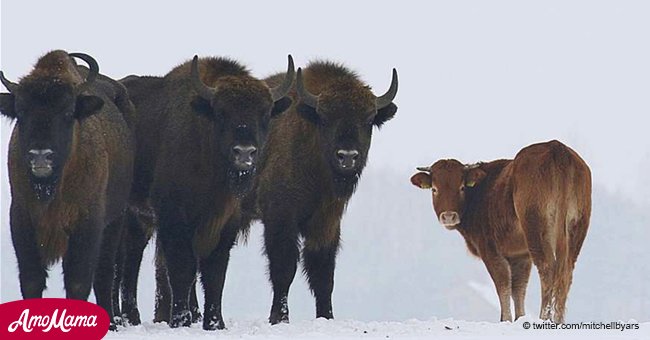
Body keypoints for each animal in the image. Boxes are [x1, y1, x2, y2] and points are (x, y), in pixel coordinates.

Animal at [0, 50, 134, 330]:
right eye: (21, 111)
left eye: (68, 111)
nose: (41, 156)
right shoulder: (21, 218)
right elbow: (31, 279)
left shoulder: (88, 223)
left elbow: (78, 281)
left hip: (115, 221)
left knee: (105, 274)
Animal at [116, 55, 294, 330]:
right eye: (222, 112)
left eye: (264, 113)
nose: (244, 153)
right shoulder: (174, 218)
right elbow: (182, 269)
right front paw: (181, 321)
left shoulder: (226, 223)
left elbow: (214, 273)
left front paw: (215, 323)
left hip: (139, 220)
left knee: (131, 261)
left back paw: (131, 318)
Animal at [248, 61, 398, 324]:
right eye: (326, 118)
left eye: (368, 119)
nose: (347, 156)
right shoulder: (279, 217)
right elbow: (284, 268)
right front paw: (279, 318)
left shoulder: (327, 221)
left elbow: (323, 274)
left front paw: (326, 317)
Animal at [412, 139, 588, 322]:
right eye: (434, 189)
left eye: (461, 187)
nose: (448, 216)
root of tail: (556, 148)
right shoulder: (520, 255)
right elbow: (518, 289)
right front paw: (519, 318)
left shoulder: (491, 250)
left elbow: (502, 284)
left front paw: (506, 319)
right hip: (576, 228)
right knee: (566, 272)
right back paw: (559, 320)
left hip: (536, 229)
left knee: (547, 268)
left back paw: (544, 318)